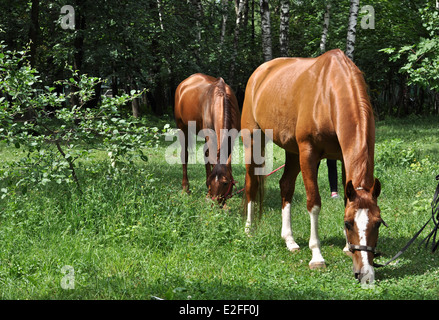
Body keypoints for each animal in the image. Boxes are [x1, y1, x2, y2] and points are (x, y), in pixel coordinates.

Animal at [174, 74, 241, 204]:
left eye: (225, 183)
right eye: (212, 181)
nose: (215, 203)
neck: (221, 98)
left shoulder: (232, 137)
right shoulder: (210, 135)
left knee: (206, 154)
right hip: (182, 127)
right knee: (185, 155)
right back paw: (185, 188)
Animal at [242, 48, 384, 284]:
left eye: (378, 223)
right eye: (348, 223)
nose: (364, 272)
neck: (329, 93)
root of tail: (259, 73)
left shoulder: (342, 156)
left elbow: (345, 198)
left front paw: (346, 246)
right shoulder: (308, 153)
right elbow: (314, 203)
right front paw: (317, 256)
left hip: (291, 151)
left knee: (286, 186)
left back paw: (289, 240)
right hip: (254, 141)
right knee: (251, 183)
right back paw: (248, 229)